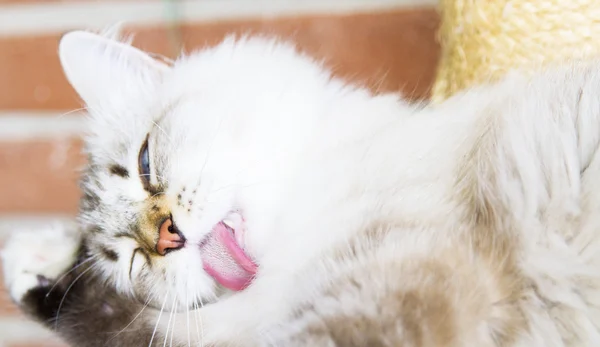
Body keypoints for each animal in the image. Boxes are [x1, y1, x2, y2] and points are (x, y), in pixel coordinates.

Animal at [3, 27, 600, 347]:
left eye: (145, 163)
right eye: (131, 258)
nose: (167, 236)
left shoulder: (395, 286)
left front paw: (37, 257)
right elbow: (134, 325)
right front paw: (35, 262)